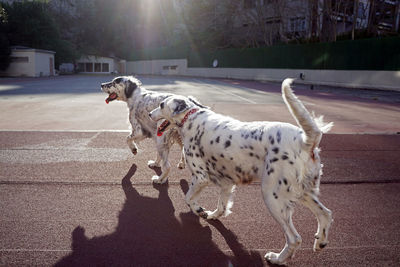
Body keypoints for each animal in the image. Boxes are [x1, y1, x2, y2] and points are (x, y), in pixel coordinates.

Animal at [148, 79, 332, 266]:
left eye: (161, 105)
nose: (149, 114)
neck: (191, 118)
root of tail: (305, 141)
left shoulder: (201, 177)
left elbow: (188, 198)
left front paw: (199, 210)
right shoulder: (226, 183)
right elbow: (221, 206)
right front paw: (212, 215)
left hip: (273, 195)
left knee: (295, 238)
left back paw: (277, 258)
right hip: (303, 192)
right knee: (325, 214)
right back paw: (320, 242)